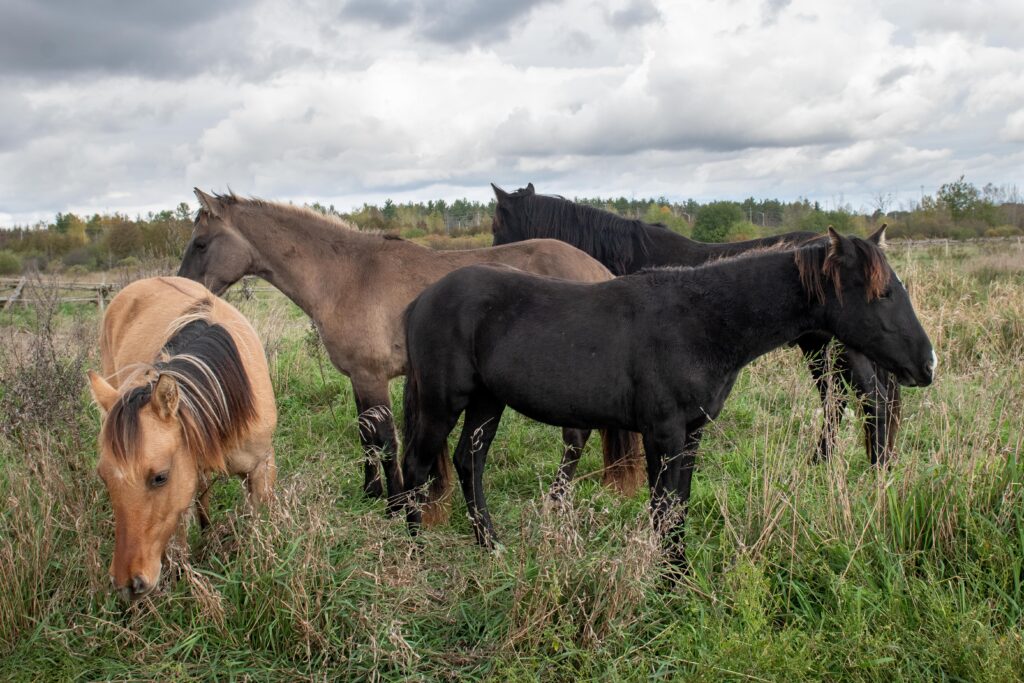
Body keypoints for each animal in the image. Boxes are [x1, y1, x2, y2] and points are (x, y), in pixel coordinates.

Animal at [88, 274, 276, 602]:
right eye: (104, 477)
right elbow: (178, 539)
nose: (127, 584)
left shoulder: (261, 467)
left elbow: (259, 525)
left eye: (160, 477)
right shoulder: (181, 488)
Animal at [176, 187, 638, 518]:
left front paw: (397, 503)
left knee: (575, 436)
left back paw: (556, 499)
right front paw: (371, 492)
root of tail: (596, 269)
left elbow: (384, 441)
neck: (346, 276)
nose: (185, 290)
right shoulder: (359, 379)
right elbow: (365, 435)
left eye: (200, 244)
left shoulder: (372, 376)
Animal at [401, 229, 937, 573]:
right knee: (416, 467)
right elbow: (663, 509)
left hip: (486, 402)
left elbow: (678, 507)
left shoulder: (691, 435)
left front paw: (677, 576)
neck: (699, 320)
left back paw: (490, 546)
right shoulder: (662, 435)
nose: (927, 364)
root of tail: (421, 300)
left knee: (469, 463)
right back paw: (416, 554)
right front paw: (665, 582)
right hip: (441, 403)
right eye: (883, 293)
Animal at [491, 181, 901, 471]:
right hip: (819, 348)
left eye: (497, 223)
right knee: (840, 402)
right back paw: (827, 461)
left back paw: (876, 471)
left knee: (873, 400)